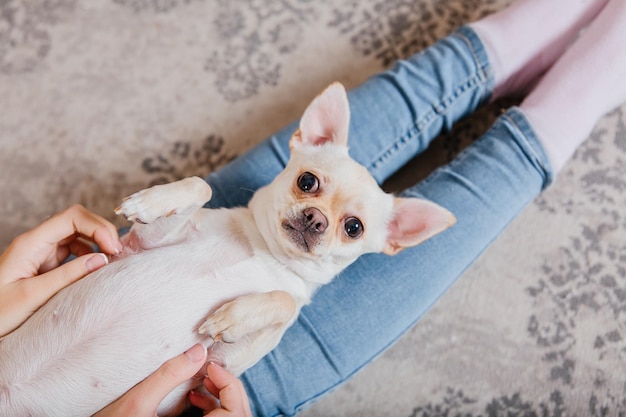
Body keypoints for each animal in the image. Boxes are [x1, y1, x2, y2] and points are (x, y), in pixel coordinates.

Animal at [0, 82, 450, 416]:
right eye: (307, 182)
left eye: (354, 228)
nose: (316, 218)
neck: (266, 254)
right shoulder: (139, 244)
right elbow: (201, 185)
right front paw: (150, 201)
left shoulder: (217, 366)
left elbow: (285, 299)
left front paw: (235, 315)